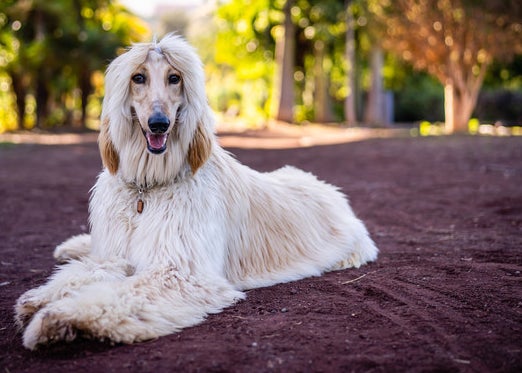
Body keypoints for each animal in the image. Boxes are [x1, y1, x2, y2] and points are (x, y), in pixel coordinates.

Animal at [14, 35, 376, 348]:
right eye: (138, 77)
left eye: (174, 78)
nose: (159, 123)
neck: (148, 188)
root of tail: (331, 190)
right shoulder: (116, 253)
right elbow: (88, 271)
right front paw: (41, 297)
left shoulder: (180, 272)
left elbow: (120, 294)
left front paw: (56, 317)